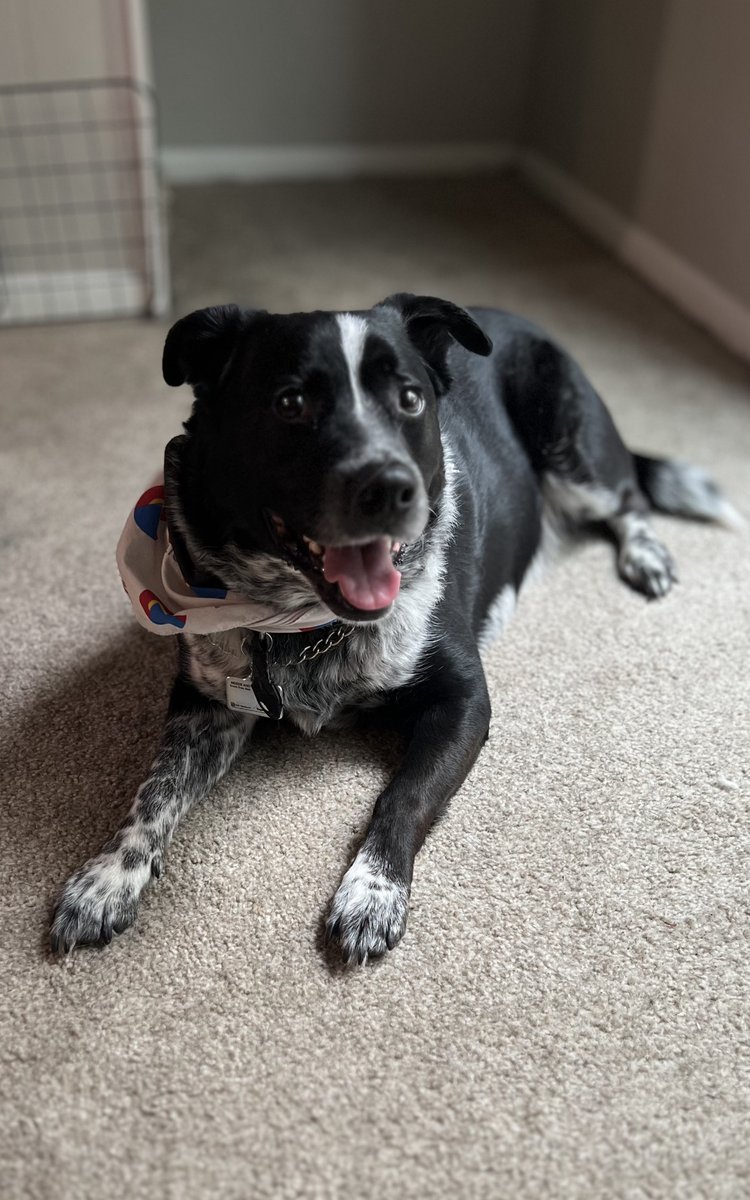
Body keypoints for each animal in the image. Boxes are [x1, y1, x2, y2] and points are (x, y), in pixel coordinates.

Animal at [51, 295, 739, 960]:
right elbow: (156, 789)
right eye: (290, 402)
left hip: (572, 449)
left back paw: (646, 556)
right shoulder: (204, 702)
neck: (304, 624)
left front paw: (372, 892)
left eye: (410, 399)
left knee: (628, 500)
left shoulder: (464, 700)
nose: (391, 487)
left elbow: (405, 794)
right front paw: (107, 877)